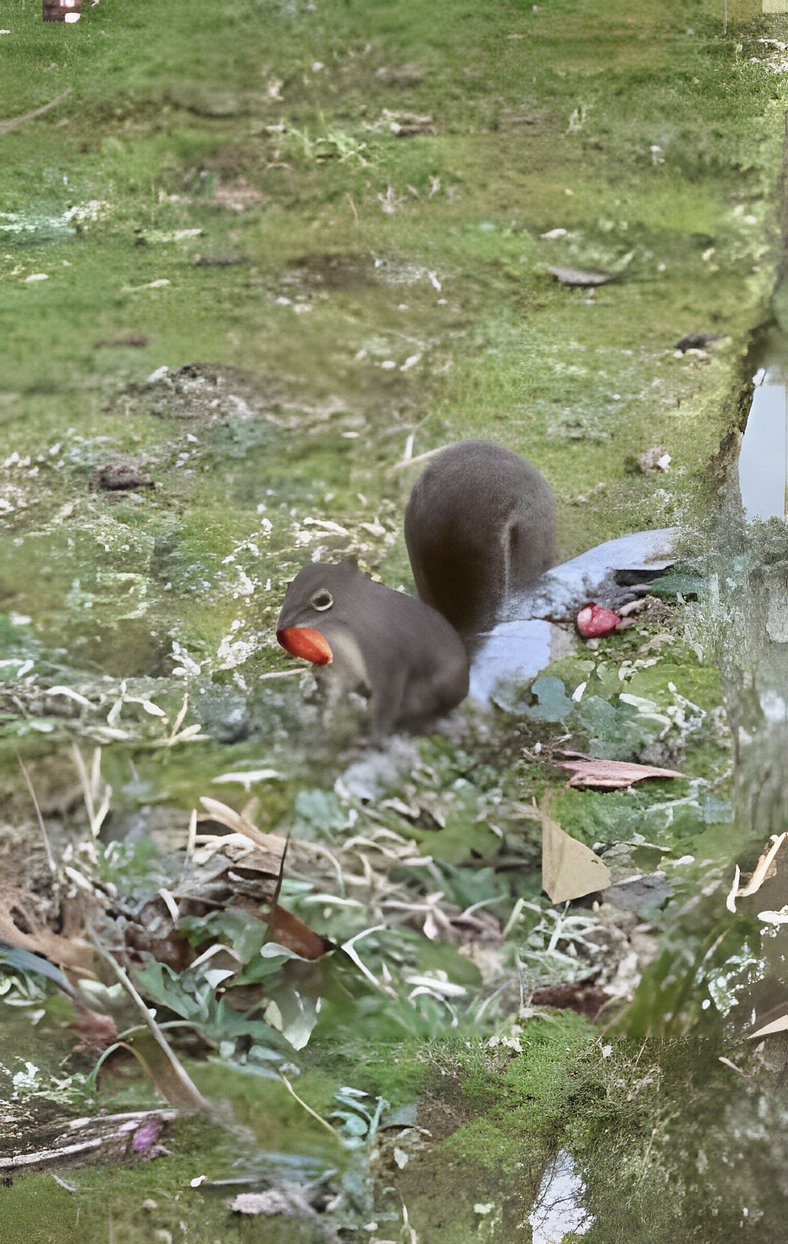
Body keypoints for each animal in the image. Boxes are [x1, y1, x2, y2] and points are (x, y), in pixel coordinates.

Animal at [276, 440, 552, 731]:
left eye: (321, 601)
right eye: (290, 585)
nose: (281, 628)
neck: (340, 633)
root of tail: (466, 664)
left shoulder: (386, 660)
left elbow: (386, 697)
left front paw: (374, 730)